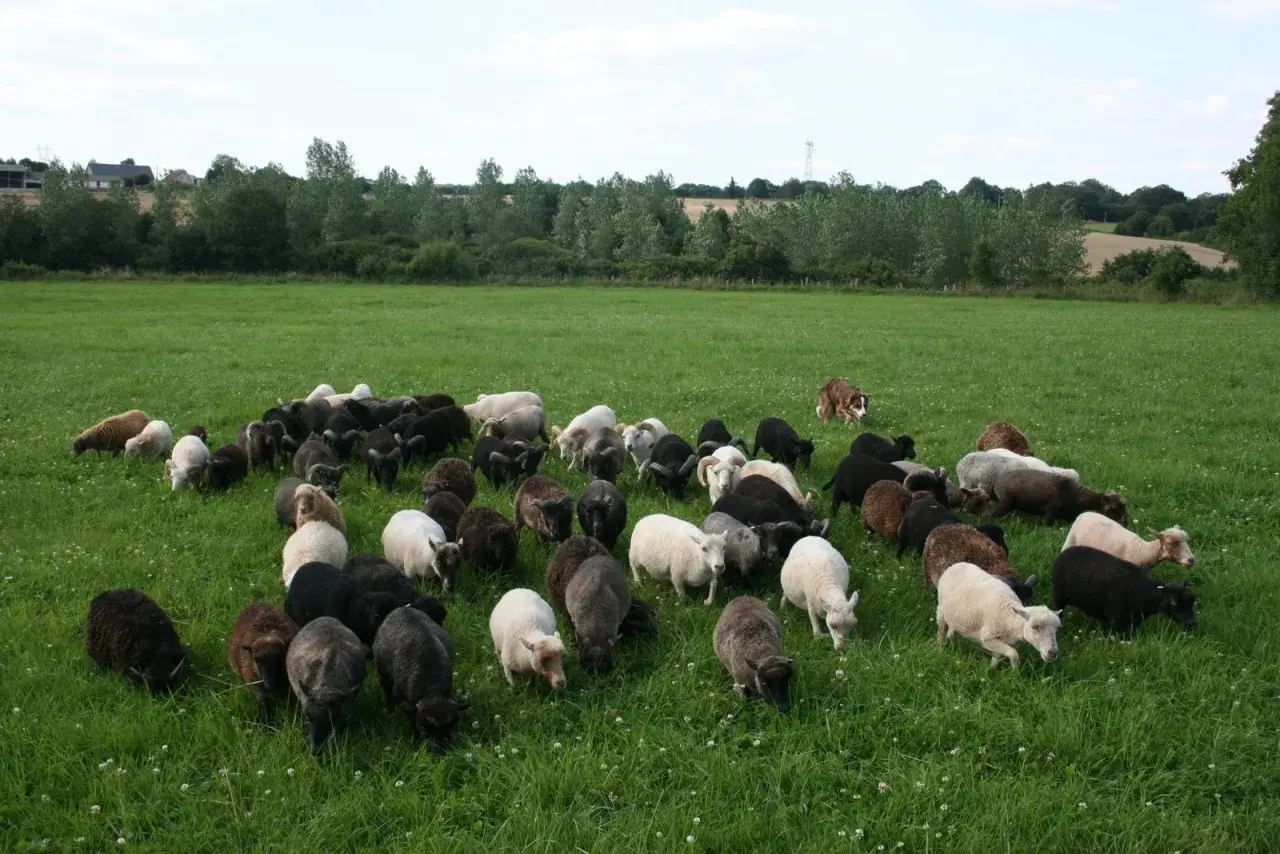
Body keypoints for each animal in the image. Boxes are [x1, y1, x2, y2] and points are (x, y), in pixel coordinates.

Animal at [373, 606, 467, 751]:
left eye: (450, 724)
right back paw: (389, 711)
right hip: (383, 673)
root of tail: (402, 608)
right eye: (424, 726)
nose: (441, 751)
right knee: (387, 691)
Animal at [994, 469, 1127, 527]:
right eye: (1113, 508)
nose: (1125, 525)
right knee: (995, 515)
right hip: (1006, 502)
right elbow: (1047, 524)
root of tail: (998, 480)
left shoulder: (1070, 517)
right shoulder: (1050, 511)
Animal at [1052, 547, 1198, 633]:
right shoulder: (1115, 616)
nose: (1192, 625)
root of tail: (1066, 551)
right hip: (1059, 596)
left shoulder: (1136, 619)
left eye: (1192, 601)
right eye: (1173, 602)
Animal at [1062, 512, 1196, 570]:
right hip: (1070, 540)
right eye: (1170, 544)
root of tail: (1085, 513)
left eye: (1188, 541)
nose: (1192, 560)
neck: (1142, 551)